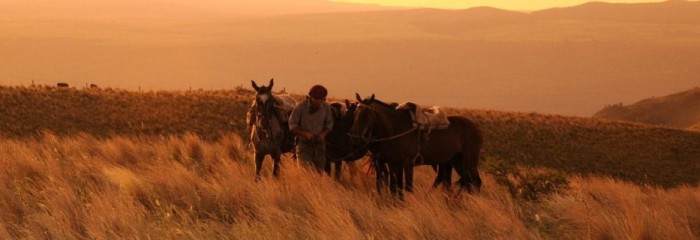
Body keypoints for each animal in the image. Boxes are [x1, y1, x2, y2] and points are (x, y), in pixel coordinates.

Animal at [348, 94, 482, 195]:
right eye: (355, 114)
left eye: (365, 114)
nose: (354, 139)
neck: (397, 128)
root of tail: (475, 127)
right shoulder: (393, 163)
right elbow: (394, 187)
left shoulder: (407, 163)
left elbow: (407, 187)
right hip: (457, 161)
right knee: (467, 182)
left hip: (469, 161)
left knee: (476, 182)